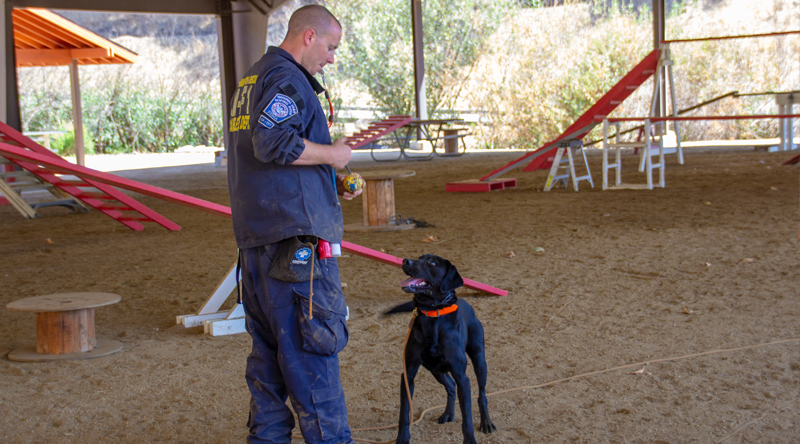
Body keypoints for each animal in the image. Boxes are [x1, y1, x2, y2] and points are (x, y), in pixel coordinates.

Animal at [386, 253, 494, 444]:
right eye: (420, 257)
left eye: (432, 263)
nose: (405, 261)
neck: (432, 312)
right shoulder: (408, 375)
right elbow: (404, 414)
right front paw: (402, 439)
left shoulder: (462, 377)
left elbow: (467, 418)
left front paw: (470, 440)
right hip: (435, 369)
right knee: (450, 386)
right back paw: (448, 413)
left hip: (479, 360)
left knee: (481, 394)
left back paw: (486, 422)